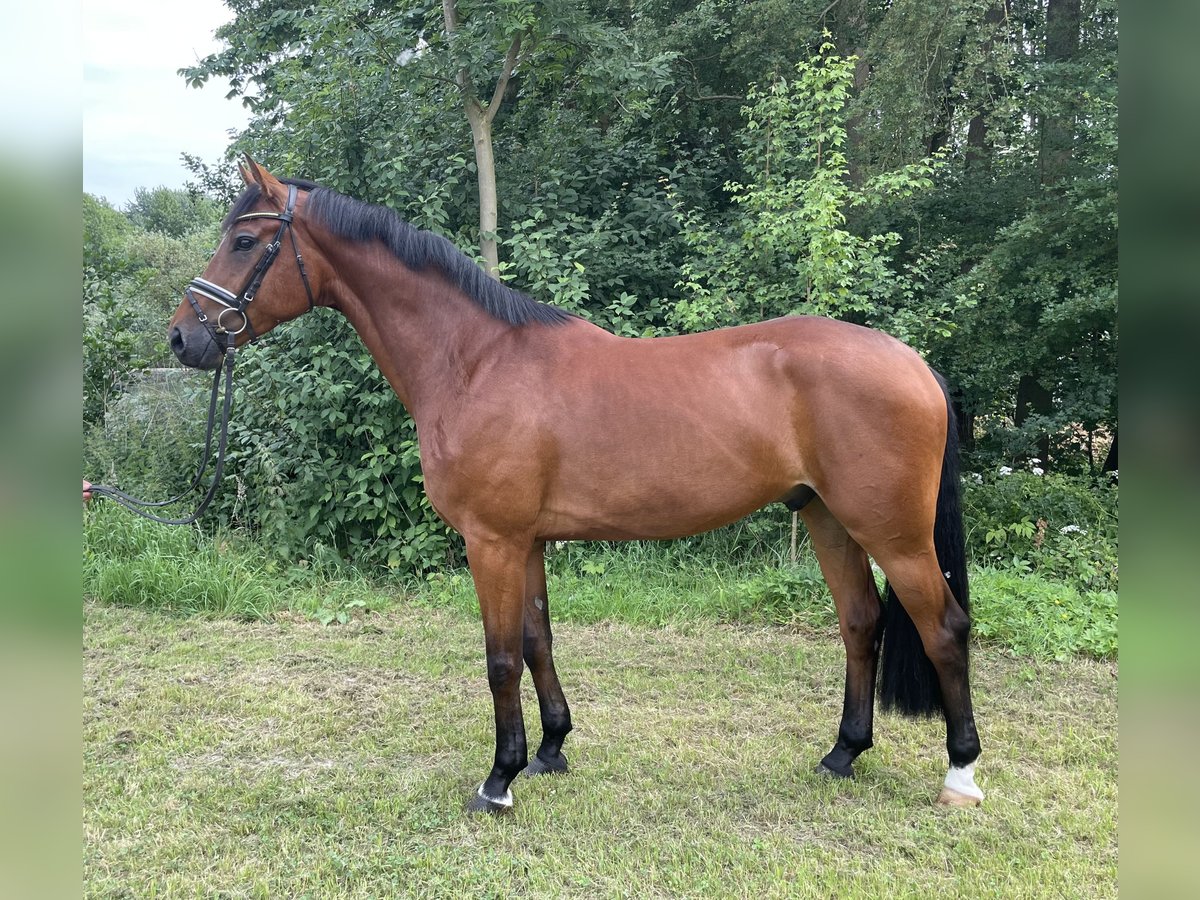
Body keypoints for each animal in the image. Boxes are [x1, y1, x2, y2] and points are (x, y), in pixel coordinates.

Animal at [169, 158, 984, 816]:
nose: (184, 337)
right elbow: (538, 640)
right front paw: (551, 749)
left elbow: (500, 657)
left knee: (943, 629)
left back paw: (960, 774)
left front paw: (498, 780)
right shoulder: (526, 541)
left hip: (893, 534)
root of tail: (915, 364)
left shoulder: (492, 541)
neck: (476, 360)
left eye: (244, 242)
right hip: (827, 519)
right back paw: (842, 754)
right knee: (861, 624)